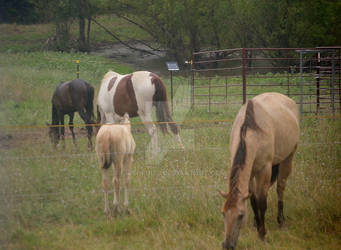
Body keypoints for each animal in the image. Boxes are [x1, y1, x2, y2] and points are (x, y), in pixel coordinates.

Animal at [220, 93, 298, 249]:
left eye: (241, 215)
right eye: (223, 213)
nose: (227, 245)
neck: (251, 131)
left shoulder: (264, 170)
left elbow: (262, 202)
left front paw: (262, 235)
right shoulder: (250, 174)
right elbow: (253, 200)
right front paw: (257, 225)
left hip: (288, 157)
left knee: (280, 188)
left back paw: (281, 221)